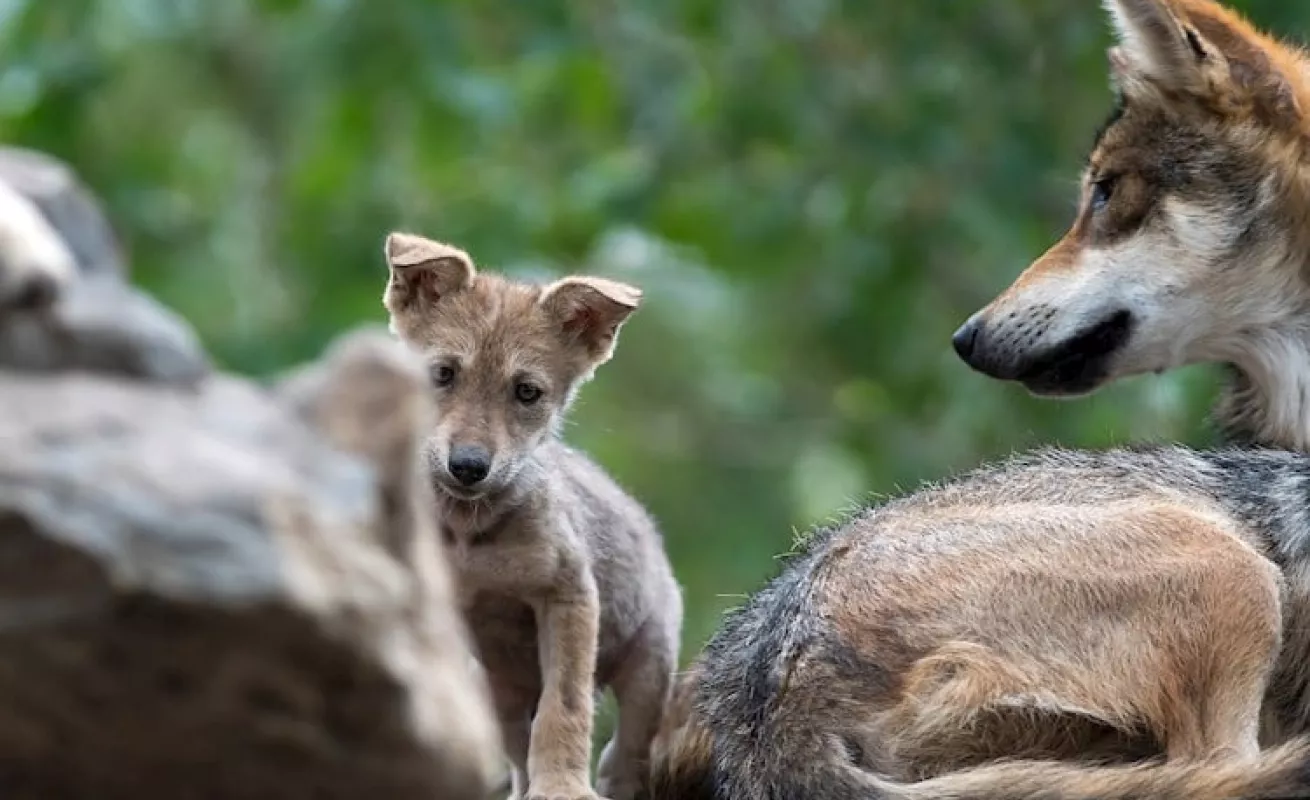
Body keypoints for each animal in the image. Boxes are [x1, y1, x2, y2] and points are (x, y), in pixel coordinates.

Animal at [382, 232, 682, 800]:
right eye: (443, 374)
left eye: (526, 392)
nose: (468, 466)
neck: (468, 533)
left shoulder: (568, 595)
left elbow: (563, 707)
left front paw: (562, 787)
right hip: (497, 688)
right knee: (517, 755)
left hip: (649, 666)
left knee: (625, 756)